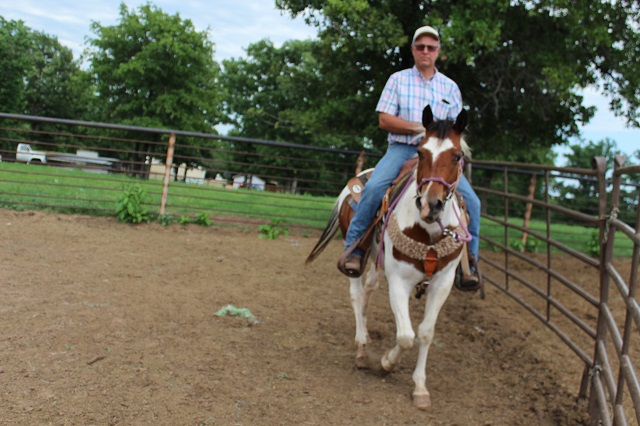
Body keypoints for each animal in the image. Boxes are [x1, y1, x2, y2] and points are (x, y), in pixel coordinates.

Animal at [304, 105, 470, 410]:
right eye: (421, 153)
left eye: (456, 156)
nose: (431, 205)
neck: (428, 232)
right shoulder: (399, 281)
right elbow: (405, 336)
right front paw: (385, 363)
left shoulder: (443, 283)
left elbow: (425, 333)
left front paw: (420, 387)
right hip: (357, 253)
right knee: (357, 293)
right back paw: (361, 349)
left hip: (375, 257)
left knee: (369, 289)